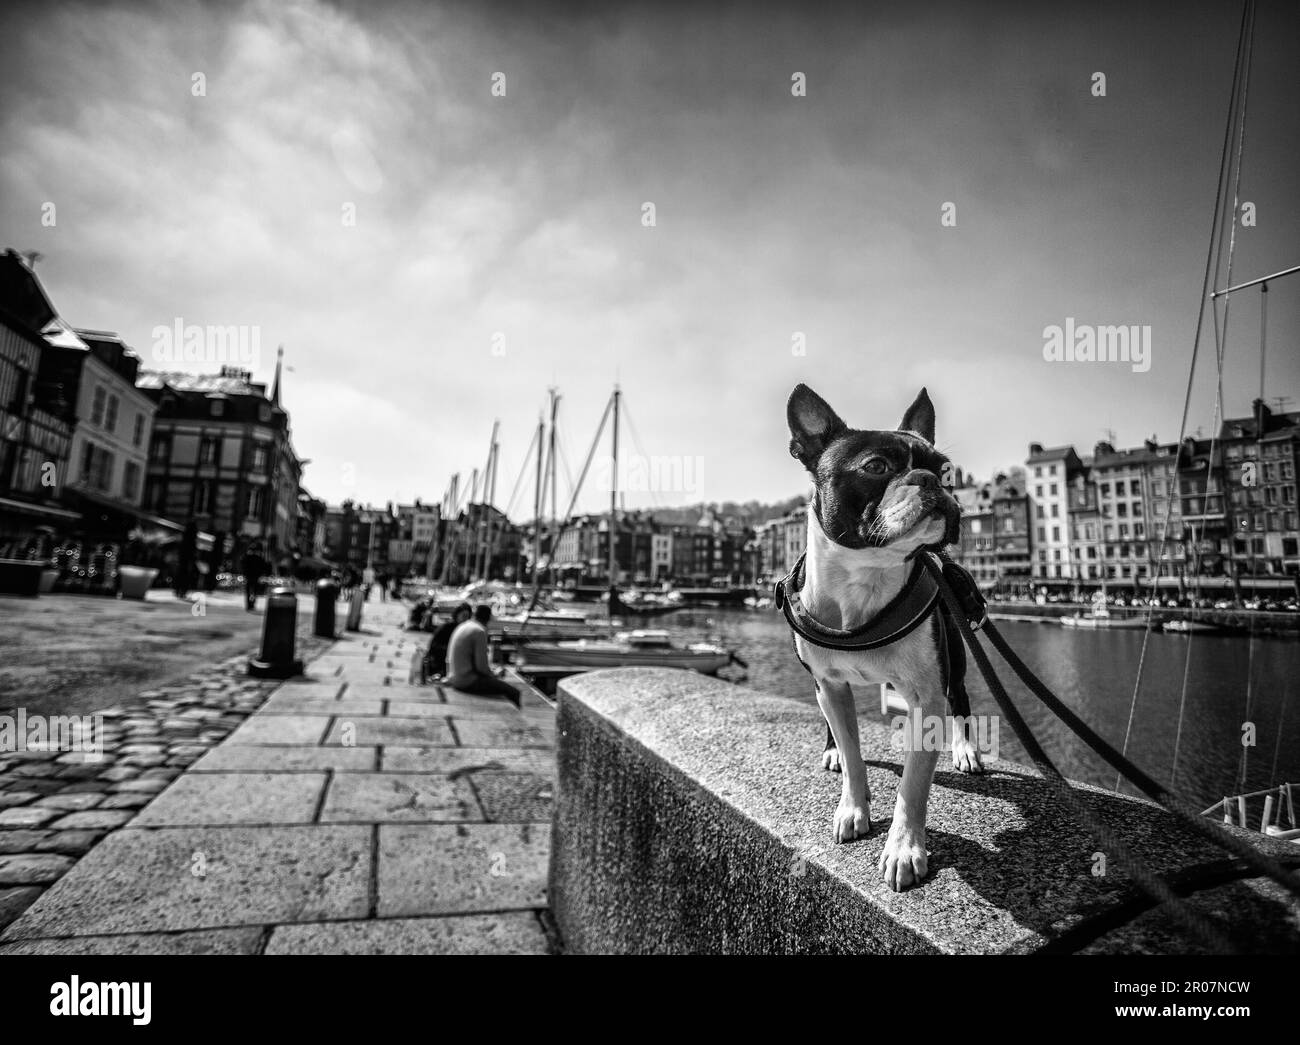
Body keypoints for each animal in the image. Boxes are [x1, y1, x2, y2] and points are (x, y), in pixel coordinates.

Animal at [780, 384, 982, 889]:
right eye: (876, 467)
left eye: (945, 470)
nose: (929, 480)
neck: (865, 578)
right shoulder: (829, 684)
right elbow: (853, 754)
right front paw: (852, 806)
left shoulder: (927, 697)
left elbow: (913, 784)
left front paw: (904, 848)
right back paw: (830, 749)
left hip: (954, 655)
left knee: (962, 697)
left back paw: (966, 750)